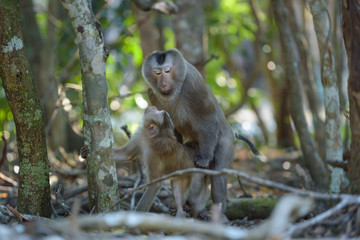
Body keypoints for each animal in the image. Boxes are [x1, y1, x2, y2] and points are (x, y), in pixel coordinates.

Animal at [142, 47, 235, 215]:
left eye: (167, 70)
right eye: (157, 73)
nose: (163, 84)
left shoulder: (193, 84)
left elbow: (208, 119)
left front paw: (204, 158)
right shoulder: (151, 92)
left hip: (226, 142)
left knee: (218, 172)